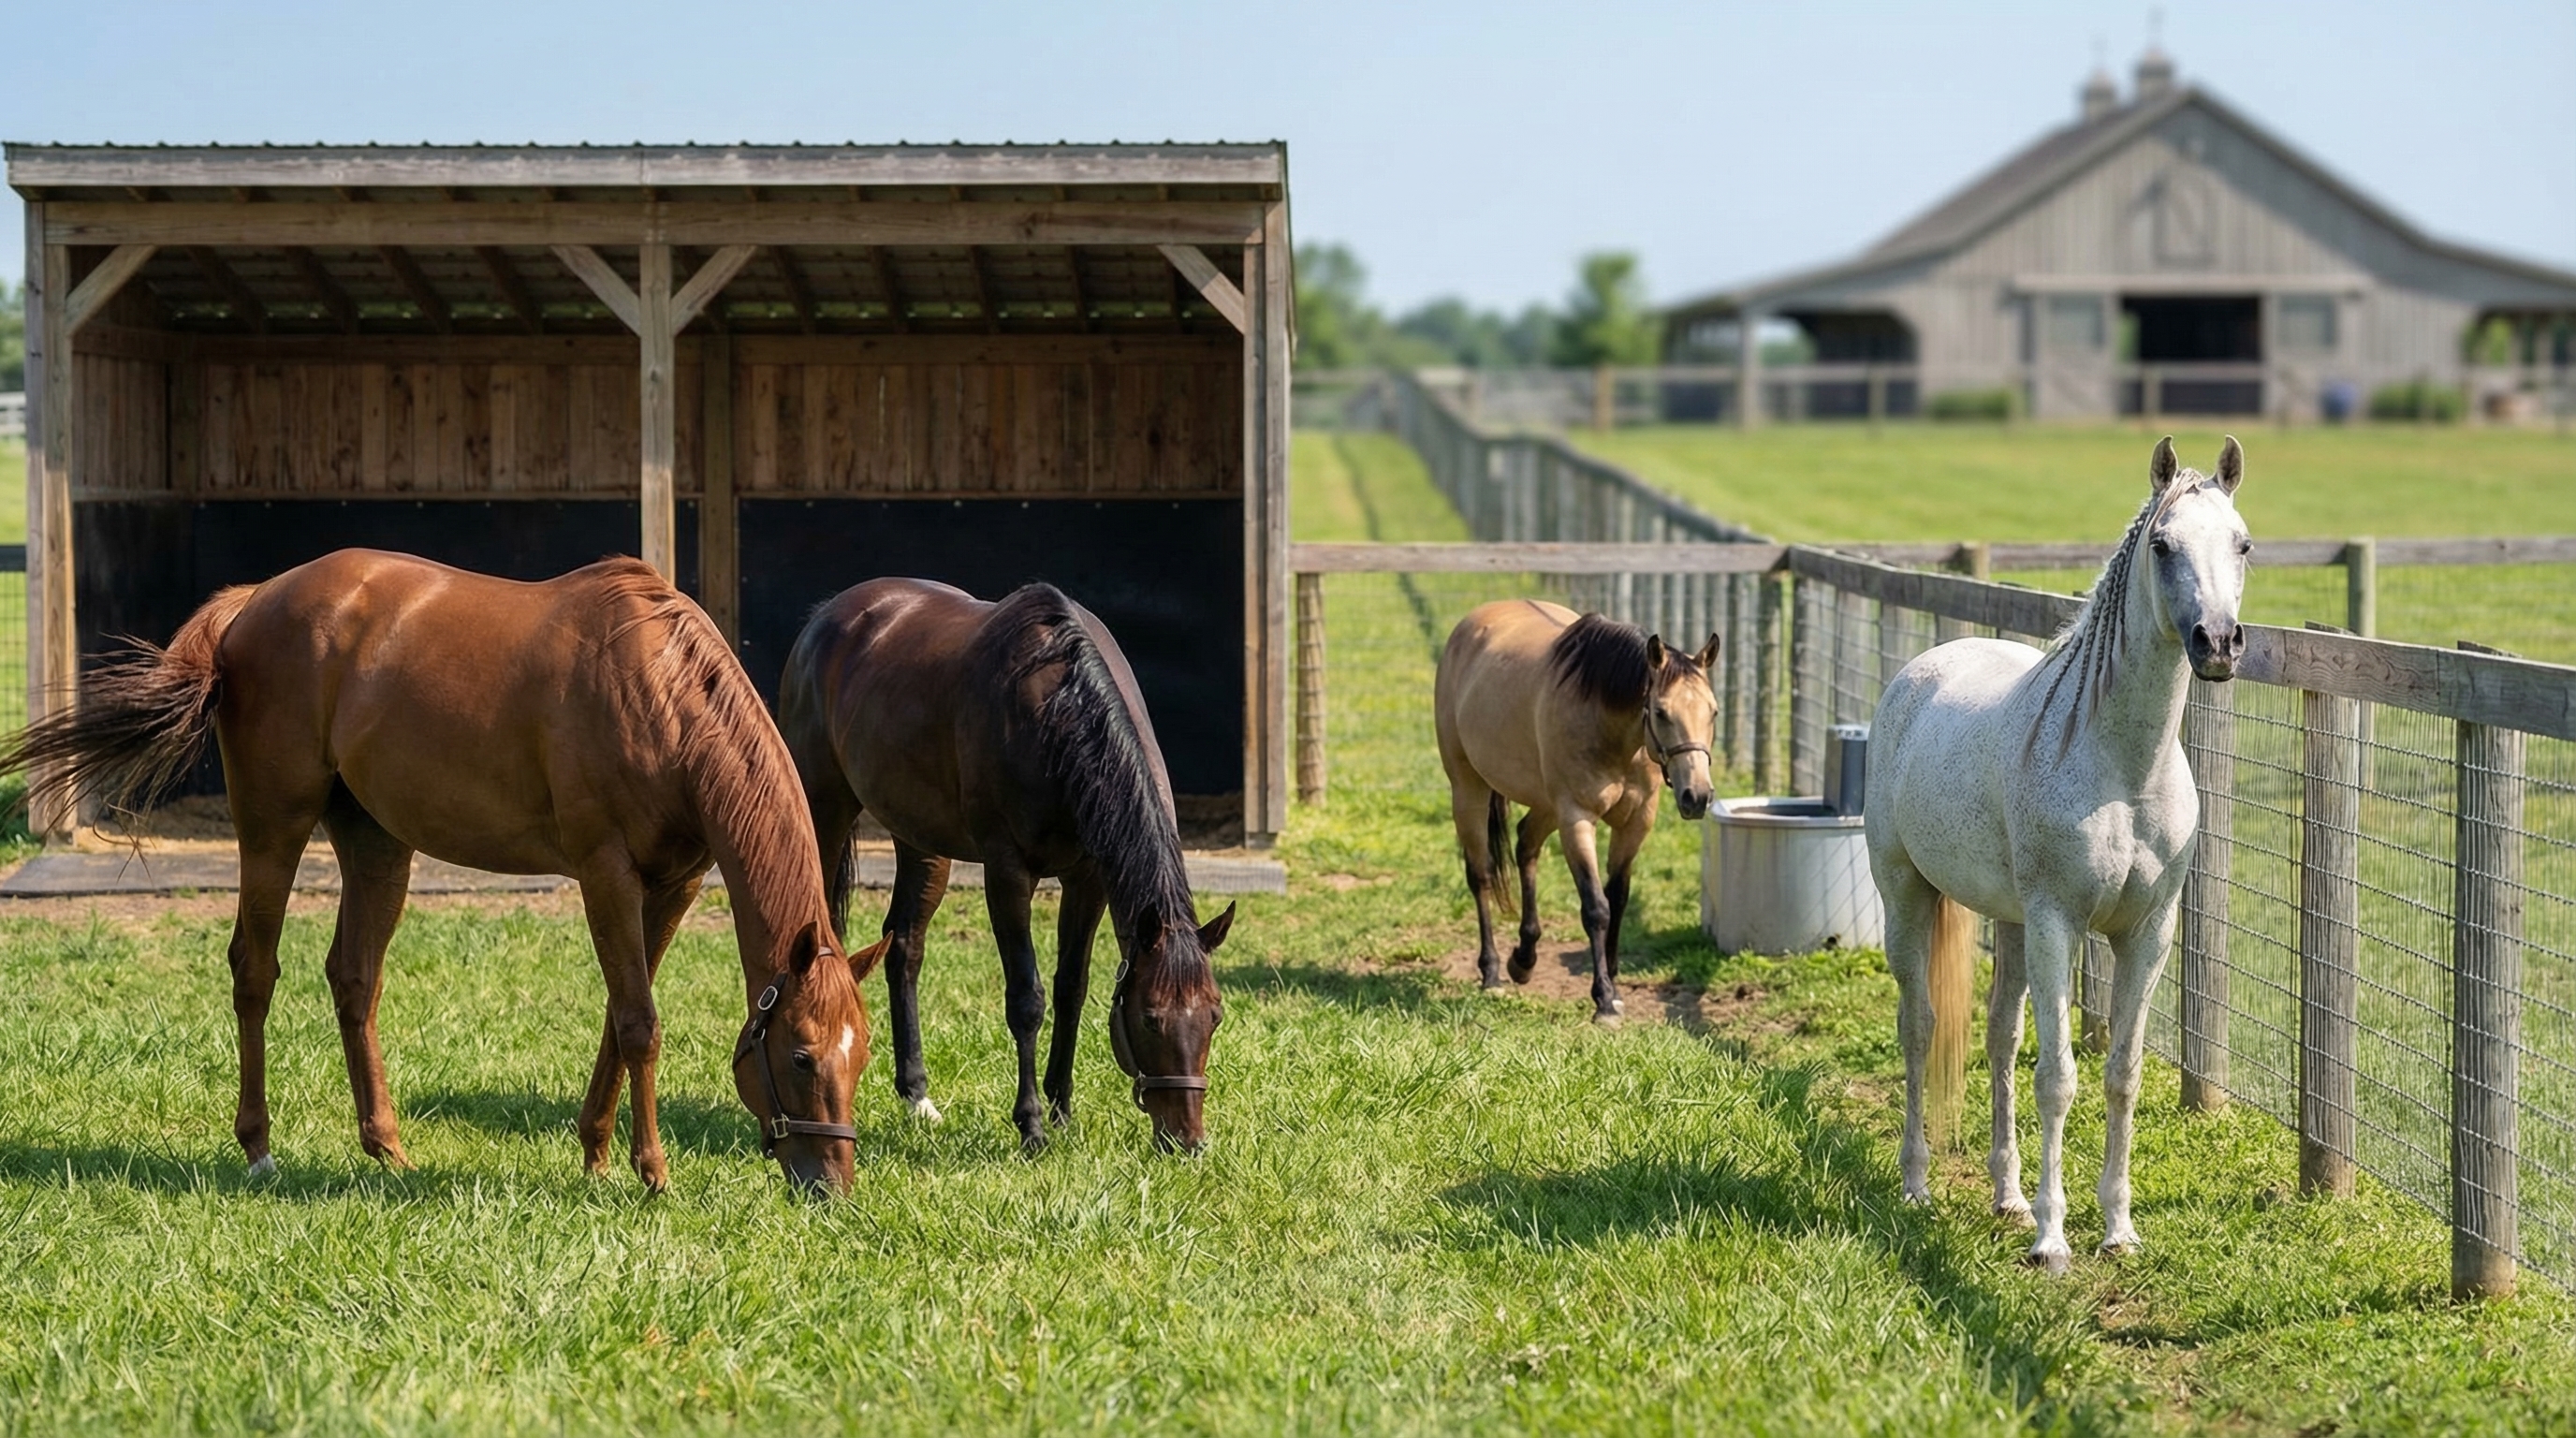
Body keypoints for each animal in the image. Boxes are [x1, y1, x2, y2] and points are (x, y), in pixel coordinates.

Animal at [0, 550, 881, 1194]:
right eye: (802, 1057)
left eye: (861, 1056)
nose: (832, 1187)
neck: (659, 695)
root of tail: (255, 601)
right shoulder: (606, 873)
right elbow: (639, 1022)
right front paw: (650, 1171)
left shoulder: (674, 885)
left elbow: (618, 1016)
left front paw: (596, 1153)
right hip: (273, 825)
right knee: (255, 969)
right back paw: (258, 1149)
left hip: (377, 845)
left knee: (354, 979)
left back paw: (386, 1148)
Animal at [777, 578, 1233, 1154]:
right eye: (1150, 1019)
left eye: (1214, 1015)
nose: (1187, 1141)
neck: (1058, 716)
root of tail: (826, 617)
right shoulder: (1008, 873)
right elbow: (1027, 998)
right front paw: (1032, 1126)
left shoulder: (1088, 878)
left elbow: (1071, 987)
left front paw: (1062, 1113)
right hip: (826, 808)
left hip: (922, 839)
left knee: (905, 947)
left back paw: (918, 1097)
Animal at [1434, 602, 1720, 1024]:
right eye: (1661, 712)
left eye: (1713, 712)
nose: (1697, 796)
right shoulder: (1576, 817)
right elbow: (1596, 907)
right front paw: (1603, 1001)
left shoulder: (1636, 822)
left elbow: (1619, 898)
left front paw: (1614, 985)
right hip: (1469, 788)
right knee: (1481, 875)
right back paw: (1492, 972)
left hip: (1545, 803)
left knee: (1525, 845)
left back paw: (1524, 959)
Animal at [1866, 436, 2250, 1273]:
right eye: (2163, 545)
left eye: (2242, 544)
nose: (2217, 643)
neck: (2121, 769)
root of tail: (1919, 674)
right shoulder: (2055, 926)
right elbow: (2059, 1079)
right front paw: (2052, 1239)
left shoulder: (2148, 935)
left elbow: (2120, 1077)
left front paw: (2118, 1229)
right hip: (1908, 897)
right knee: (1920, 1027)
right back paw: (1916, 1186)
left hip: (2008, 925)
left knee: (1999, 1040)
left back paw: (2005, 1194)